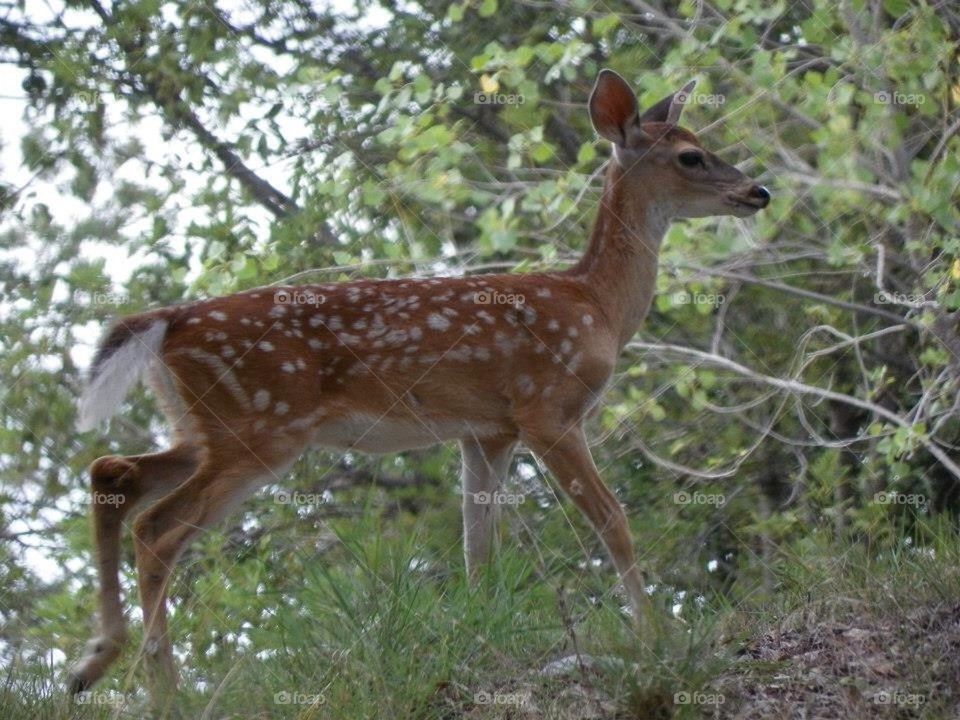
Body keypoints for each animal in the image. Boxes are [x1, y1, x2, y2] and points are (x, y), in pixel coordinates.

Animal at [67, 69, 769, 701]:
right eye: (691, 155)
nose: (758, 190)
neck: (597, 305)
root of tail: (167, 321)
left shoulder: (487, 431)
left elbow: (478, 548)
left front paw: (481, 642)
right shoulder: (547, 408)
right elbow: (612, 520)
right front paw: (654, 637)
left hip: (203, 424)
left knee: (113, 472)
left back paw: (94, 663)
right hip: (263, 425)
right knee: (157, 529)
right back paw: (161, 691)